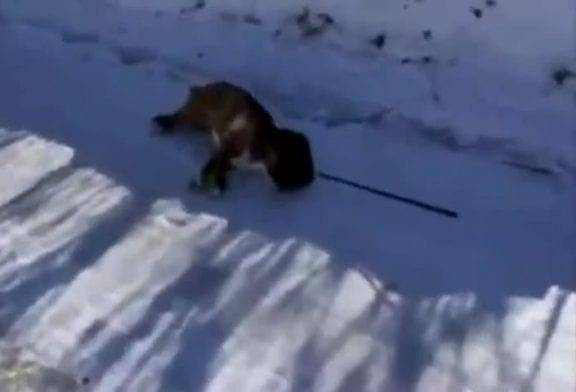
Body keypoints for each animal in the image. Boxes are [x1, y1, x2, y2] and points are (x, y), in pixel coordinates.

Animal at [152, 81, 316, 194]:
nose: (309, 178)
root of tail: (200, 87)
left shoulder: (234, 160)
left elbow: (222, 167)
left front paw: (217, 183)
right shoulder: (229, 145)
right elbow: (215, 163)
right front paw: (210, 182)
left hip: (200, 122)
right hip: (196, 115)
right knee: (180, 117)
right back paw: (164, 124)